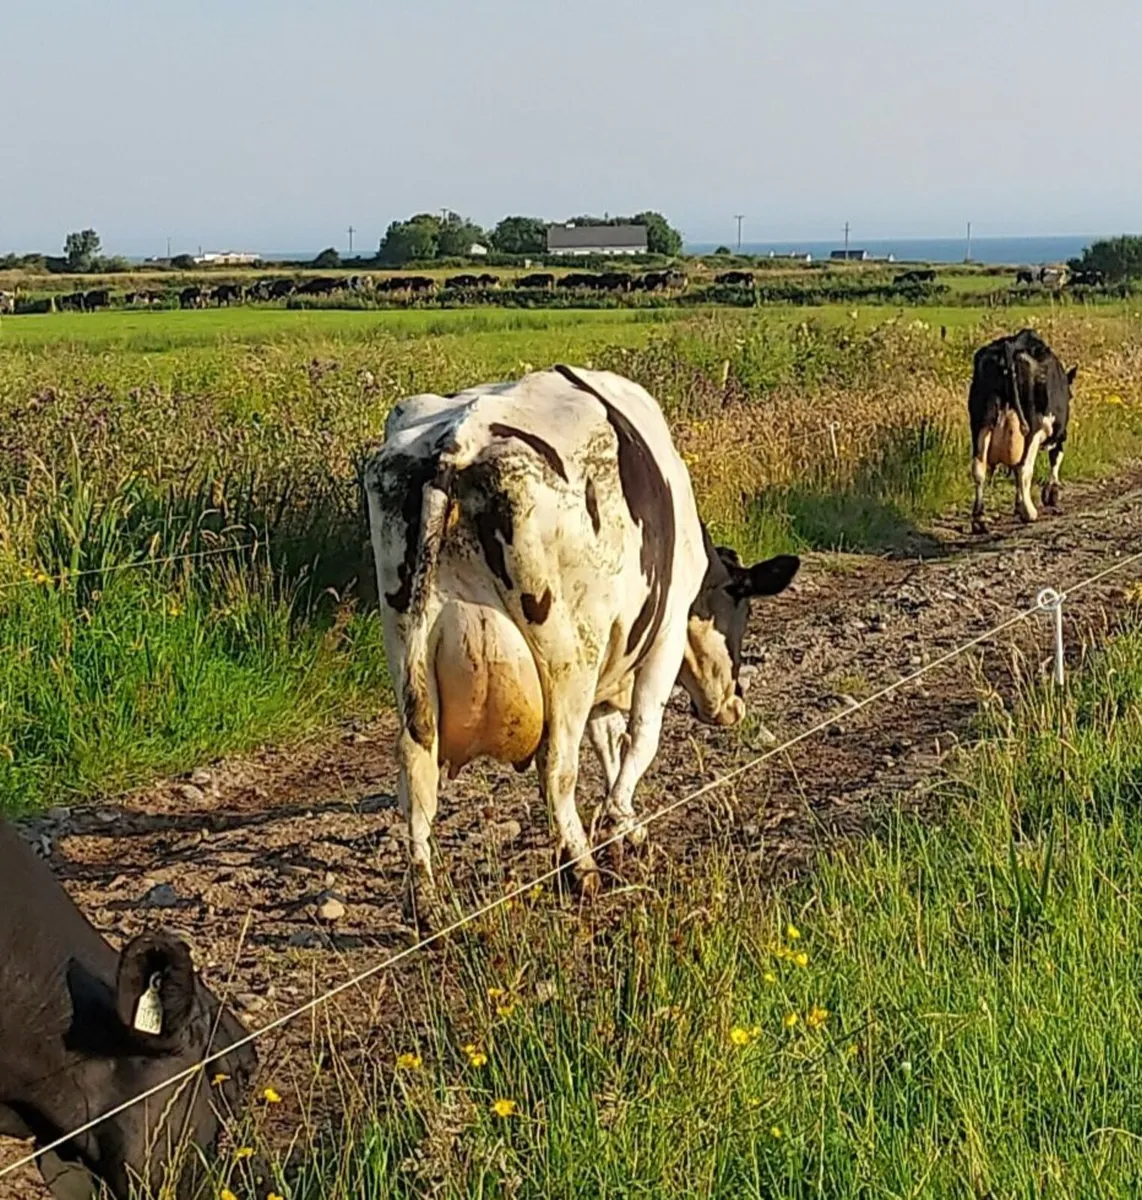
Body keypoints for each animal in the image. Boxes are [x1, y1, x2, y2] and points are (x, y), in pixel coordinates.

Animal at [364, 365, 799, 925]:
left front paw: (626, 823)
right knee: (556, 767)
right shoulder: (662, 637)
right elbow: (640, 735)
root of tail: (455, 445)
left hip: (408, 653)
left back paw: (426, 901)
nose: (733, 705)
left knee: (416, 769)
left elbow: (607, 739)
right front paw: (618, 824)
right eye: (743, 608)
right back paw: (580, 868)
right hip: (566, 661)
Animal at [968, 329, 1076, 533]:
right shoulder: (1058, 434)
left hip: (981, 421)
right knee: (1024, 467)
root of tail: (1010, 346)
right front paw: (1051, 493)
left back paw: (980, 519)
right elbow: (1056, 458)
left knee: (979, 467)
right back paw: (1029, 512)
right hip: (1033, 427)